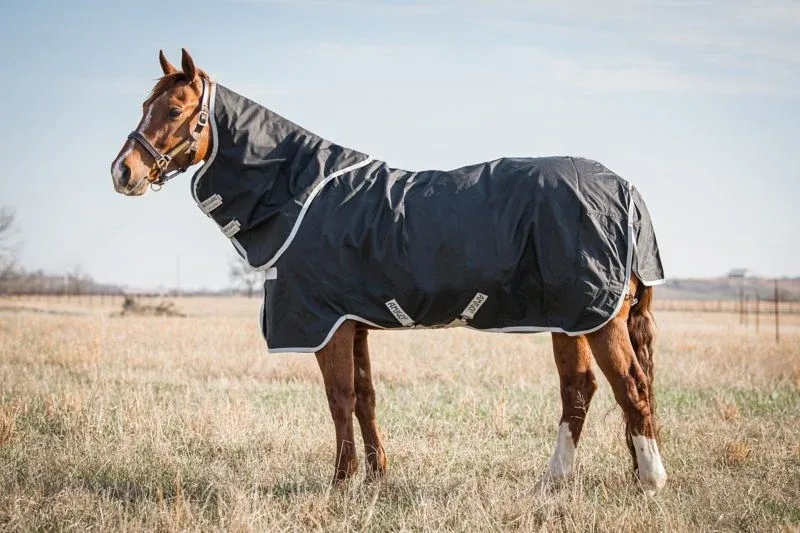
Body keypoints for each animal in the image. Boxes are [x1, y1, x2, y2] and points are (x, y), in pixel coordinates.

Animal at [110, 49, 667, 495]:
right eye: (144, 107)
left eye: (175, 110)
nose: (123, 172)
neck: (300, 192)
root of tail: (626, 190)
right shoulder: (352, 323)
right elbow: (366, 398)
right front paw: (377, 477)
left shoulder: (327, 325)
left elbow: (339, 398)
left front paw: (341, 481)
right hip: (570, 319)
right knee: (580, 390)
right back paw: (553, 481)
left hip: (597, 317)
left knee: (630, 387)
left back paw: (650, 480)